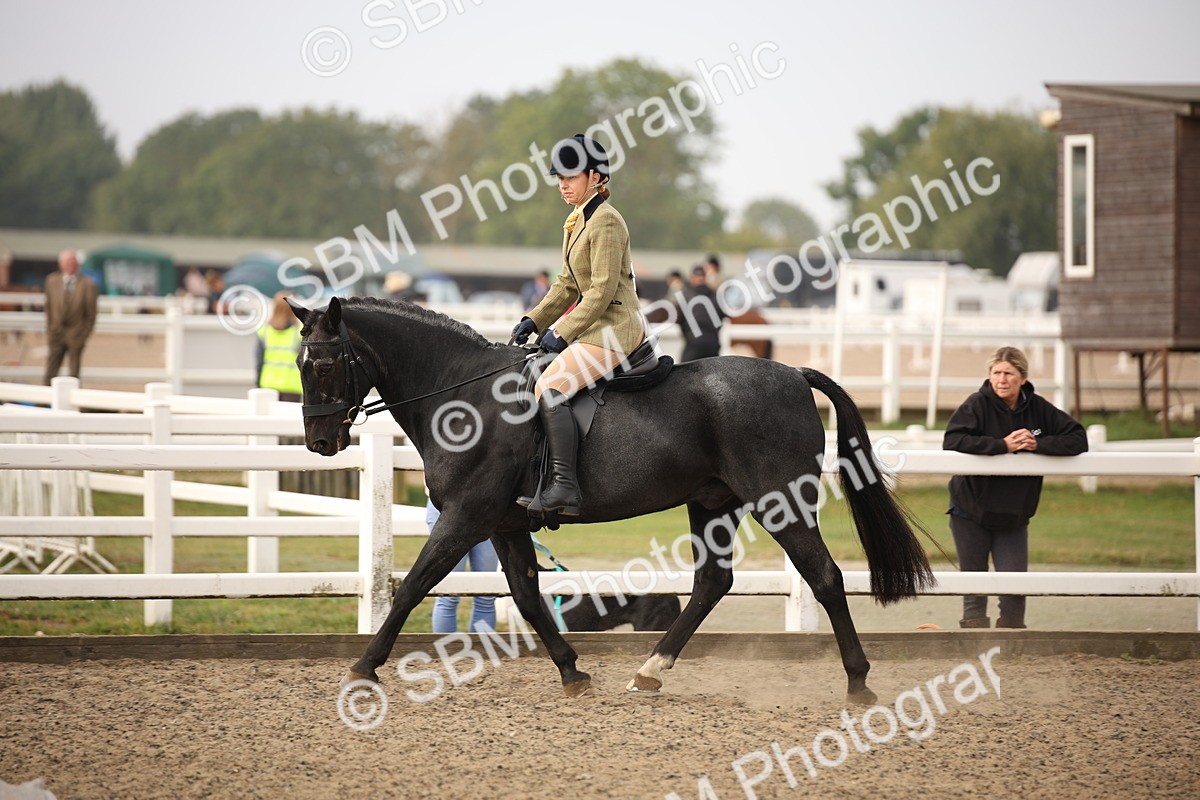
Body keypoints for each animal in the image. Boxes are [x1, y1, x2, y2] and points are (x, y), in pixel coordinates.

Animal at [291, 296, 933, 704]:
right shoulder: (503, 523)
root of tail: (795, 374)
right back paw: (649, 672)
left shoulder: (465, 517)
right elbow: (527, 595)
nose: (320, 442)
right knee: (712, 583)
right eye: (300, 362)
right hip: (712, 503)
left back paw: (858, 683)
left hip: (780, 501)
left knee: (823, 575)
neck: (465, 396)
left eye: (322, 363)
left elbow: (413, 585)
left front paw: (363, 668)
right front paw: (573, 672)